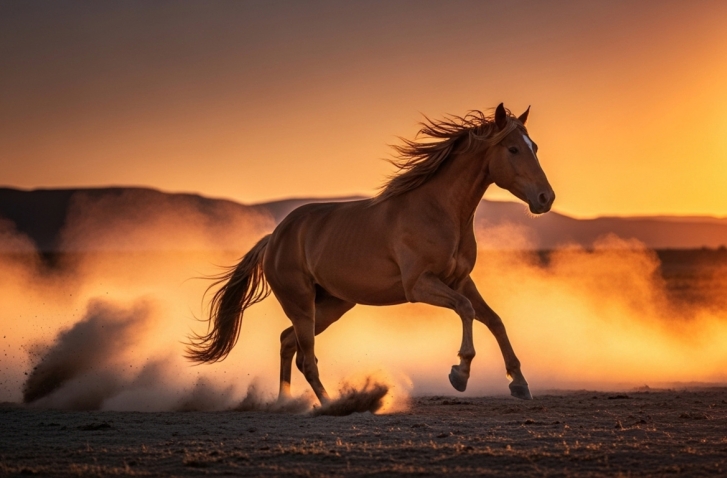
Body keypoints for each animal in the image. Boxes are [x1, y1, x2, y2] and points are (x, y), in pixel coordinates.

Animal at [186, 103, 555, 404]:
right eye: (513, 148)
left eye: (534, 147)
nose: (545, 198)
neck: (438, 210)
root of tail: (273, 239)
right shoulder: (419, 285)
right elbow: (465, 310)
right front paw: (459, 374)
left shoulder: (461, 281)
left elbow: (494, 320)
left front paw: (519, 383)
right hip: (302, 305)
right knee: (306, 357)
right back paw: (331, 405)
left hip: (331, 306)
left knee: (288, 343)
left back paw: (287, 403)